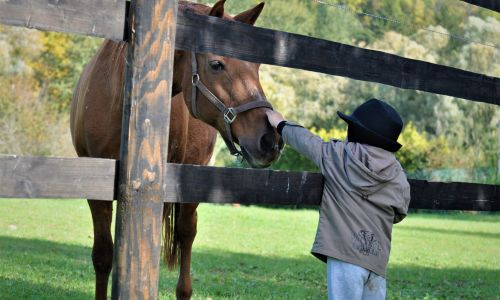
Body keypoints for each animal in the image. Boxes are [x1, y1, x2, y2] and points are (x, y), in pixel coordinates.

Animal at [69, 1, 286, 298]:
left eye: (257, 65)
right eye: (216, 64)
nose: (269, 139)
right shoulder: (95, 187)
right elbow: (103, 255)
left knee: (186, 233)